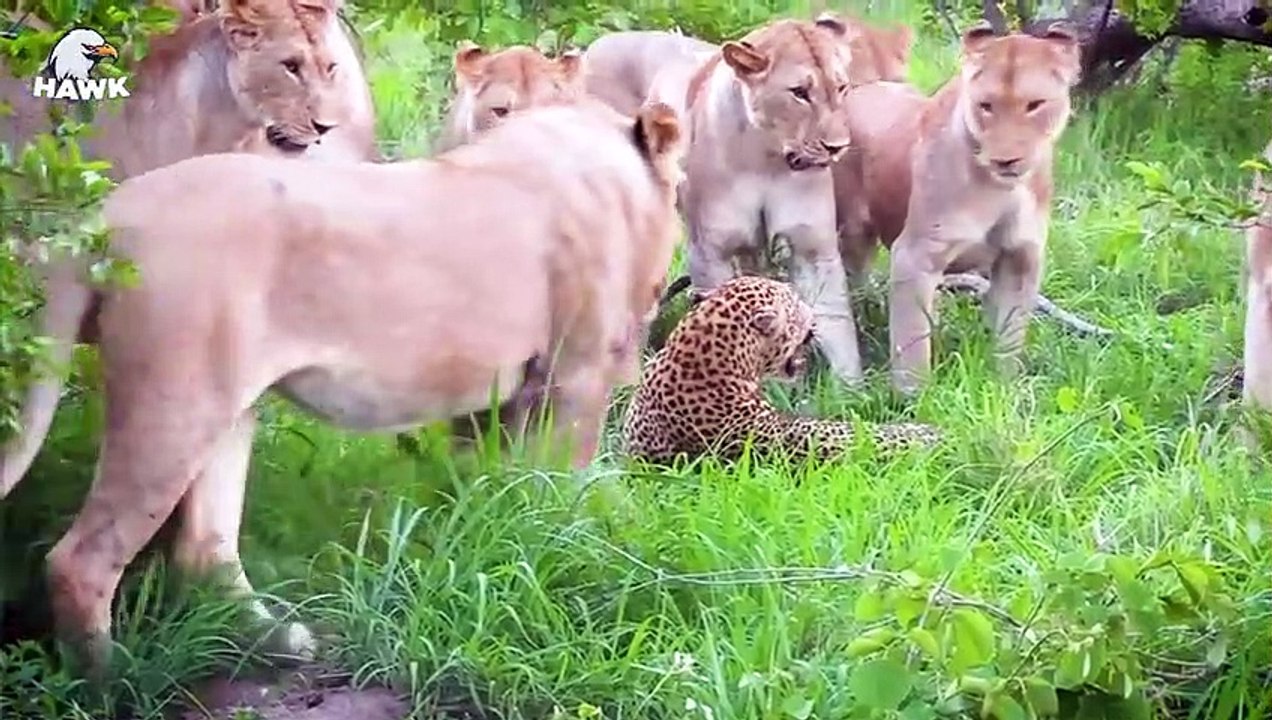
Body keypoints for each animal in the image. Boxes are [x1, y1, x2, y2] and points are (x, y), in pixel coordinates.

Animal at [0, 98, 684, 679]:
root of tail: (105, 215)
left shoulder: (501, 398)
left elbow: (496, 486)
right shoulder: (575, 376)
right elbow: (565, 490)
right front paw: (578, 547)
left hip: (229, 404)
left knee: (204, 547)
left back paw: (280, 642)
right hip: (175, 399)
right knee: (82, 559)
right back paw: (114, 681)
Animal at [831, 22, 1081, 394]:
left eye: (1035, 105)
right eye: (986, 105)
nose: (1005, 160)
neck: (1002, 189)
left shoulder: (1021, 258)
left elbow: (1009, 337)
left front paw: (1005, 388)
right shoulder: (916, 255)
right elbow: (912, 346)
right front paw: (913, 399)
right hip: (850, 232)